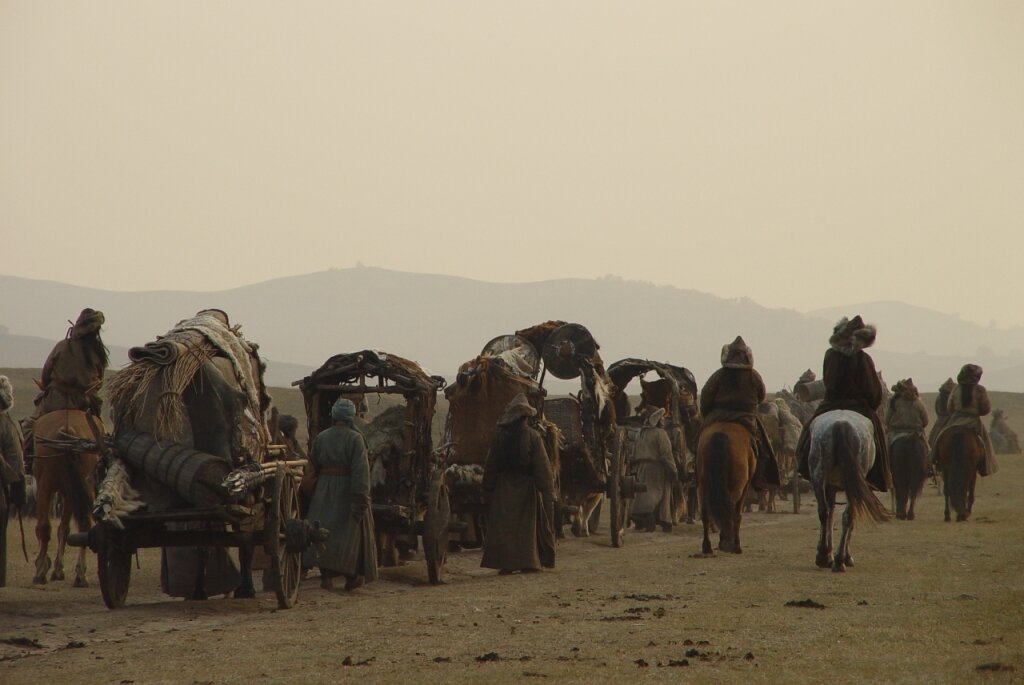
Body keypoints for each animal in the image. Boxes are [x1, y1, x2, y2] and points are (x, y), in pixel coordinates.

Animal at [31, 409, 102, 585]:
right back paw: (79, 575)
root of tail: (67, 427)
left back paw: (42, 573)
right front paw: (56, 569)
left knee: (45, 526)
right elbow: (64, 529)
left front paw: (52, 567)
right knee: (83, 525)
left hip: (47, 487)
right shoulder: (70, 494)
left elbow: (57, 528)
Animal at [692, 421, 757, 557]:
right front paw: (735, 545)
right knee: (730, 511)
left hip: (702, 485)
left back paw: (707, 547)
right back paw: (731, 544)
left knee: (706, 513)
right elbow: (737, 514)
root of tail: (719, 434)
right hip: (736, 486)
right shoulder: (745, 487)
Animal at [806, 411, 888, 573]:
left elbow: (831, 515)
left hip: (818, 474)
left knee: (825, 512)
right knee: (844, 515)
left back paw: (826, 558)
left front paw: (829, 554)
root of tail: (841, 425)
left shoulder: (831, 487)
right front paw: (845, 556)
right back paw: (837, 560)